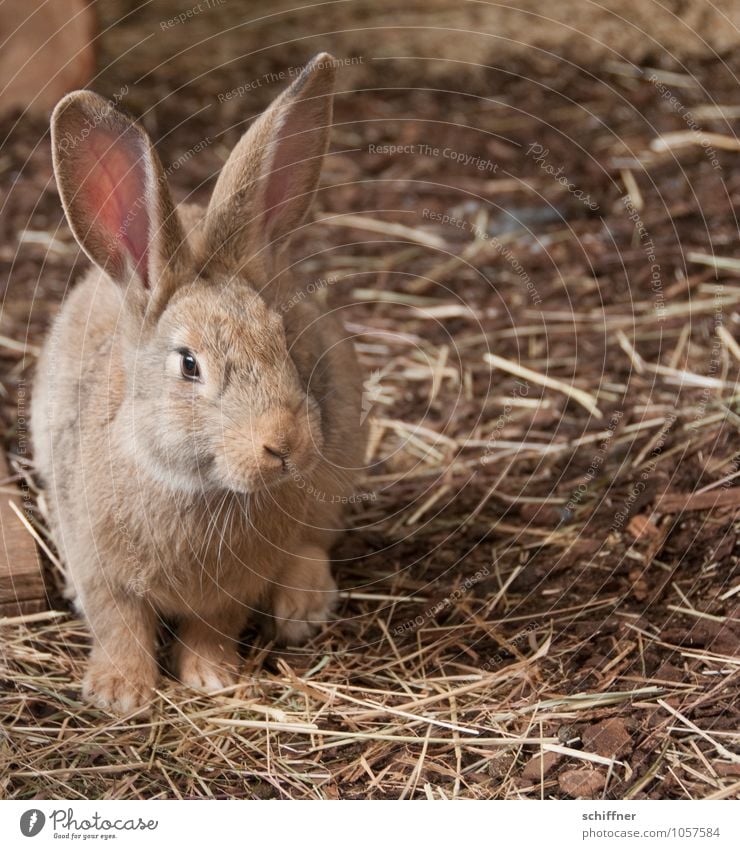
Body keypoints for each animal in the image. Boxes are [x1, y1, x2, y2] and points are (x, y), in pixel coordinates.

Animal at [31, 53, 368, 712]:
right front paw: (120, 692)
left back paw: (303, 606)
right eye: (189, 364)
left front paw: (212, 679)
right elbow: (119, 625)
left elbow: (213, 627)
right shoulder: (97, 566)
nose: (285, 445)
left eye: (283, 338)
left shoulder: (232, 588)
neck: (195, 486)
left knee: (314, 540)